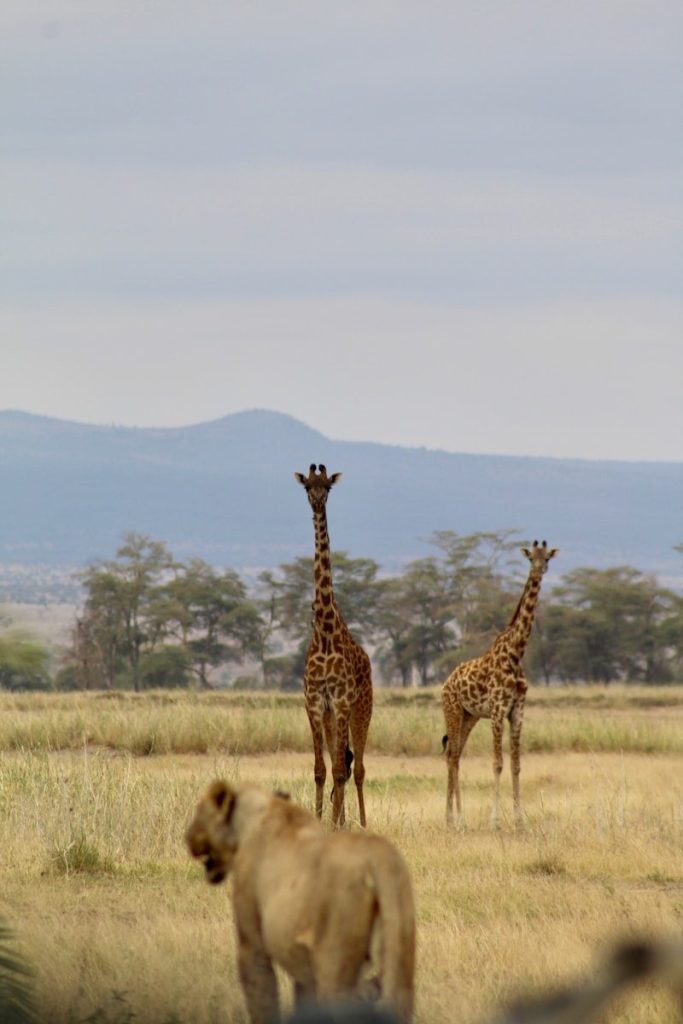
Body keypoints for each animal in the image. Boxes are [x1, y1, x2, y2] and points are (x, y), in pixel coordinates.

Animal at [186, 780, 415, 1024]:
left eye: (200, 810)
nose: (187, 837)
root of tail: (377, 858)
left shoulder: (252, 937)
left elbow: (262, 995)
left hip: (334, 964)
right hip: (399, 956)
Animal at [442, 539, 558, 829]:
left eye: (547, 558)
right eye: (531, 558)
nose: (539, 572)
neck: (516, 653)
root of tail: (446, 682)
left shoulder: (517, 711)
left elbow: (516, 764)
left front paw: (519, 818)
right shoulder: (497, 710)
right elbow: (497, 763)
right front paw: (494, 820)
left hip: (469, 716)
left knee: (455, 753)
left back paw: (456, 817)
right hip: (452, 710)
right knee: (451, 755)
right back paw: (453, 817)